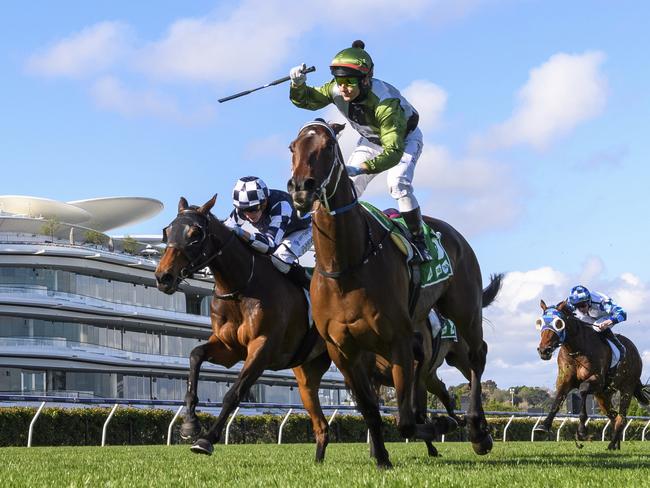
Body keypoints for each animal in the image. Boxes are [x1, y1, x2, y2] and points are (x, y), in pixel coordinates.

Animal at [154, 196, 332, 460]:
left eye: (195, 233)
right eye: (167, 231)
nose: (163, 277)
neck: (241, 288)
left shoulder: (262, 348)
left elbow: (233, 394)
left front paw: (206, 439)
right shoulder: (228, 347)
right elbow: (195, 355)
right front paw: (189, 424)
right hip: (308, 372)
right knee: (321, 424)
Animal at [286, 119, 498, 468]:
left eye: (327, 147)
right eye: (293, 147)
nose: (301, 187)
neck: (345, 265)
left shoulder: (399, 343)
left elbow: (408, 420)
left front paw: (443, 424)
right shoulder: (344, 352)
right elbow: (372, 411)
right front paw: (382, 457)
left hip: (465, 309)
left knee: (477, 357)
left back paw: (478, 430)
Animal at [532, 298, 648, 450]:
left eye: (558, 323)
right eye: (540, 323)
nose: (544, 350)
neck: (576, 349)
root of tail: (635, 351)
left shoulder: (597, 380)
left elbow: (582, 390)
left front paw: (581, 431)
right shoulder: (564, 381)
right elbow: (557, 400)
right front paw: (543, 426)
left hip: (627, 389)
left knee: (621, 417)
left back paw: (611, 445)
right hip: (603, 394)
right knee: (614, 416)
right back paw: (615, 446)